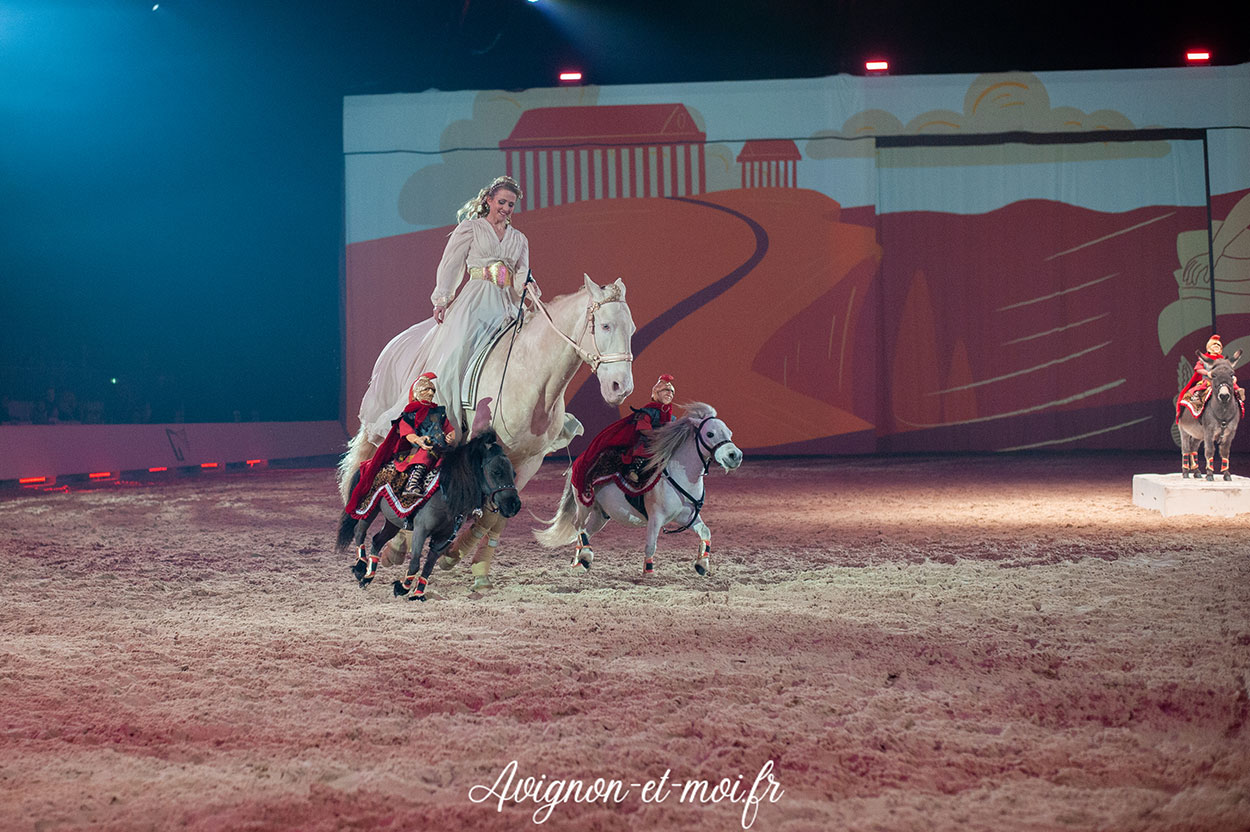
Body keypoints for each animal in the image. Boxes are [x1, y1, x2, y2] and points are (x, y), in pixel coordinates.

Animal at [335, 427, 520, 597]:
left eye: (514, 473)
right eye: (496, 472)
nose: (514, 505)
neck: (446, 493)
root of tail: (369, 463)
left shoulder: (443, 537)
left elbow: (429, 566)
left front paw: (418, 593)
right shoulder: (421, 530)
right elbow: (416, 562)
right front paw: (402, 588)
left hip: (393, 521)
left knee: (377, 540)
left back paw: (368, 576)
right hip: (370, 507)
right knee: (359, 531)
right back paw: (360, 567)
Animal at [535, 402, 740, 577]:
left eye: (729, 432)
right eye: (710, 434)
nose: (735, 455)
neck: (680, 476)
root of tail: (580, 459)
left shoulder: (687, 516)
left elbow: (706, 532)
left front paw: (701, 565)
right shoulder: (656, 517)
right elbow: (651, 545)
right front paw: (648, 571)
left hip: (600, 515)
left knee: (586, 531)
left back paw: (579, 561)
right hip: (584, 503)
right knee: (578, 526)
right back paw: (585, 556)